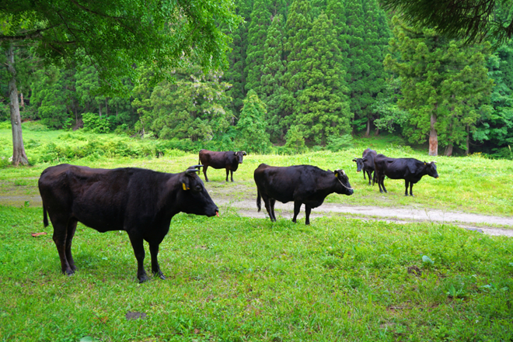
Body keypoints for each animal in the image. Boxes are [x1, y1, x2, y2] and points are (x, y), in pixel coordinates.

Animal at [38, 164, 218, 282]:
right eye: (197, 188)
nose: (215, 209)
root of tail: (50, 169)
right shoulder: (134, 230)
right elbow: (140, 254)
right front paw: (142, 276)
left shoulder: (157, 232)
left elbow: (154, 252)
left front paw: (157, 272)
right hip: (59, 216)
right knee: (60, 240)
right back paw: (66, 270)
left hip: (72, 219)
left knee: (68, 241)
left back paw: (73, 267)